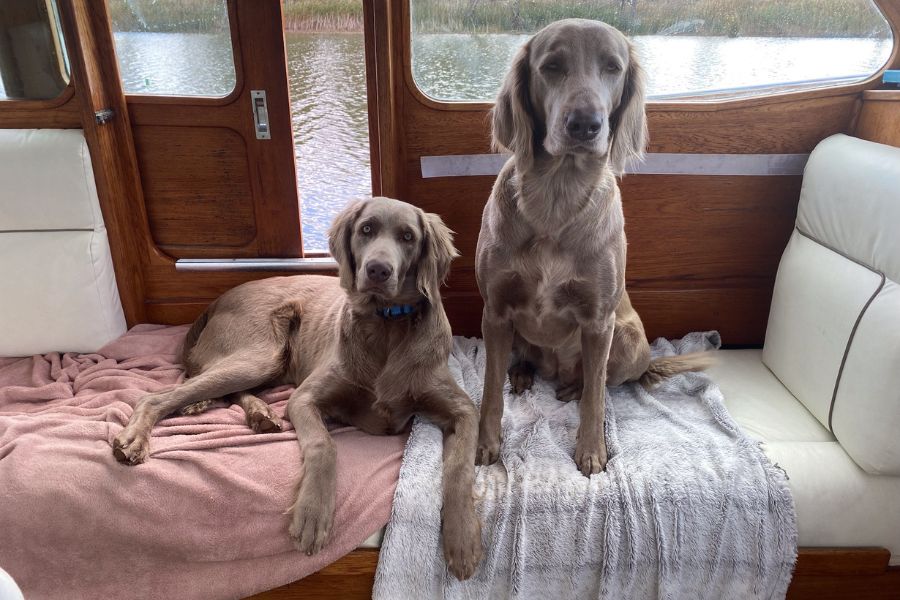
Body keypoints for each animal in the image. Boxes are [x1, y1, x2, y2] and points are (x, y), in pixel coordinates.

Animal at [116, 197, 488, 580]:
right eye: (366, 229)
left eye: (408, 236)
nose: (377, 270)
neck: (385, 325)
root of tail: (218, 300)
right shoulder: (304, 398)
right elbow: (323, 445)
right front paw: (312, 514)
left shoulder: (463, 410)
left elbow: (459, 467)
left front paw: (463, 537)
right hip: (260, 355)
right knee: (160, 395)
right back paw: (136, 439)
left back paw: (256, 414)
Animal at [474, 18, 712, 476]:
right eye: (551, 66)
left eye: (612, 67)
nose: (585, 123)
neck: (556, 199)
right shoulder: (494, 311)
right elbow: (490, 390)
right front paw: (484, 444)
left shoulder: (600, 321)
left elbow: (597, 397)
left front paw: (591, 450)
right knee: (525, 363)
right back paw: (525, 374)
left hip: (628, 339)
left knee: (594, 382)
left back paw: (571, 388)